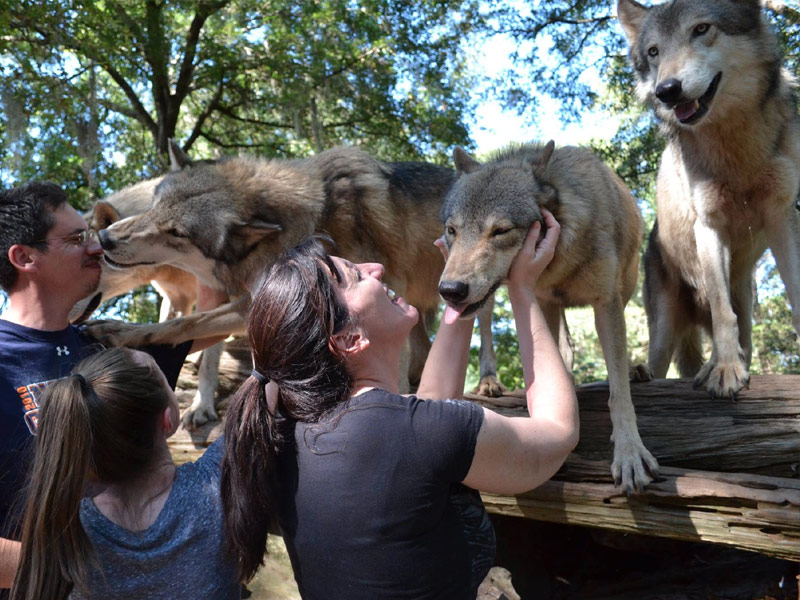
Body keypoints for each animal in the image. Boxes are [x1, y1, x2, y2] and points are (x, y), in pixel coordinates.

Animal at [438, 141, 656, 492]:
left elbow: (619, 392)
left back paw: (632, 370)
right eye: (452, 230)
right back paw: (489, 381)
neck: (562, 259)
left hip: (626, 284)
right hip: (499, 302)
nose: (450, 290)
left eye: (500, 230)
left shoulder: (607, 302)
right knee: (489, 330)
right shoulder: (540, 298)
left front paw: (630, 453)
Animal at [620, 0, 800, 398]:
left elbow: (795, 294)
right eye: (654, 52)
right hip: (665, 322)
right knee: (659, 361)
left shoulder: (782, 217)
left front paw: (727, 366)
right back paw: (642, 372)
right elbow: (721, 312)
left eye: (701, 29)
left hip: (746, 300)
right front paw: (726, 370)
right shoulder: (708, 225)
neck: (736, 149)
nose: (666, 90)